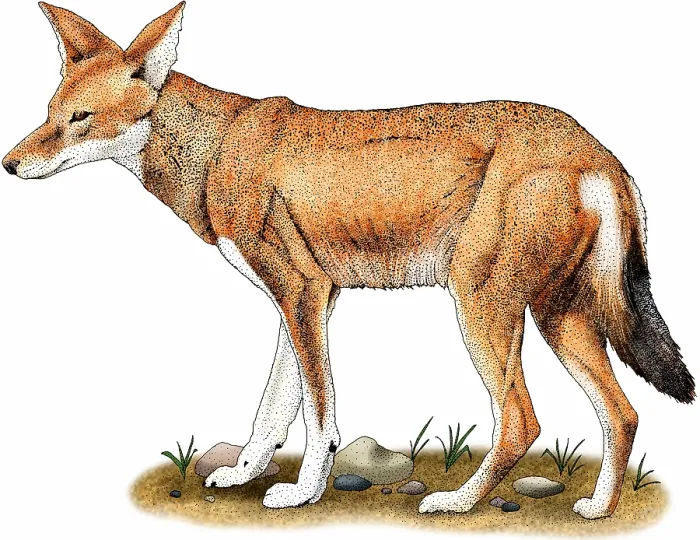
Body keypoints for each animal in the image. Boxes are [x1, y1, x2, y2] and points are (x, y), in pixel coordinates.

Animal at [3, 2, 693, 518]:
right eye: (48, 114)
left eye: (80, 119)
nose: (9, 163)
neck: (215, 150)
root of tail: (597, 150)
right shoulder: (305, 299)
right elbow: (274, 409)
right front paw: (245, 474)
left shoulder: (302, 292)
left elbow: (319, 416)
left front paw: (302, 492)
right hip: (560, 320)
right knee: (623, 413)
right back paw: (599, 510)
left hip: (482, 311)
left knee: (522, 422)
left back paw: (457, 502)